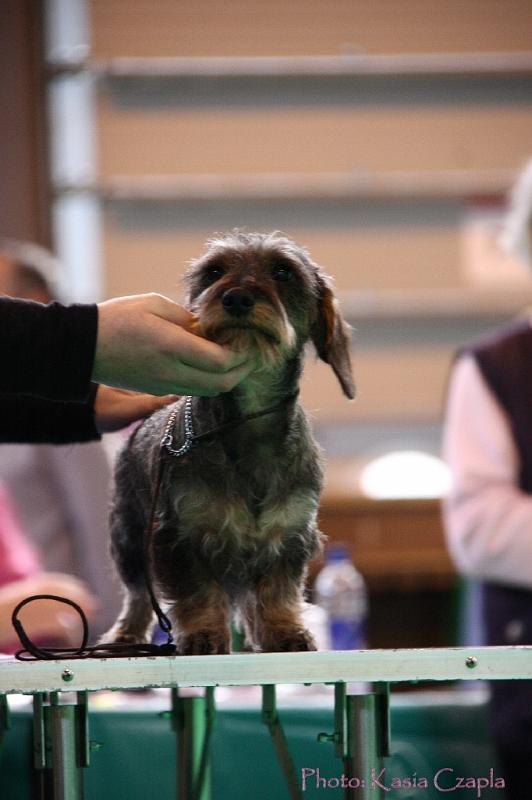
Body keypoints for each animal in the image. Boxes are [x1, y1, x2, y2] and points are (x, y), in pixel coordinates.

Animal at [102, 231, 356, 656]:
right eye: (214, 271)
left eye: (283, 271)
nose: (236, 298)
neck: (248, 424)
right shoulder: (180, 535)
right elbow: (198, 592)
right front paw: (204, 633)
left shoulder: (289, 535)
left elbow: (277, 592)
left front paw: (284, 630)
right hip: (129, 538)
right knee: (137, 595)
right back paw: (125, 635)